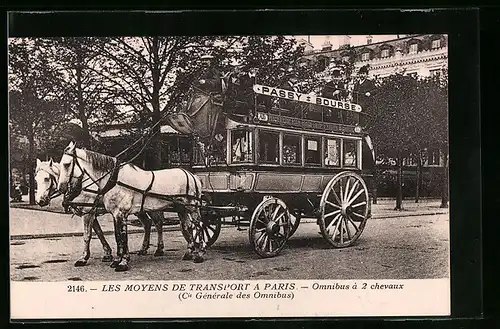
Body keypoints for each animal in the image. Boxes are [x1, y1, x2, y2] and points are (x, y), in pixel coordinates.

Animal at [35, 158, 164, 266]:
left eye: (47, 178)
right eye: (36, 179)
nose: (40, 201)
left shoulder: (88, 213)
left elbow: (87, 235)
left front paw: (83, 258)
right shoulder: (91, 214)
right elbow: (99, 233)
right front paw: (107, 253)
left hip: (151, 206)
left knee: (157, 223)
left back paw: (159, 249)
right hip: (138, 209)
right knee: (147, 223)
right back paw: (143, 249)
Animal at [58, 141, 205, 272]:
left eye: (67, 164)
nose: (61, 188)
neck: (114, 180)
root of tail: (192, 175)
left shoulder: (114, 213)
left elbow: (120, 237)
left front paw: (122, 262)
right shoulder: (114, 214)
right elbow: (117, 236)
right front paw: (117, 260)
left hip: (192, 206)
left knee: (197, 225)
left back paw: (199, 254)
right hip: (180, 208)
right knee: (185, 226)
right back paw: (188, 252)